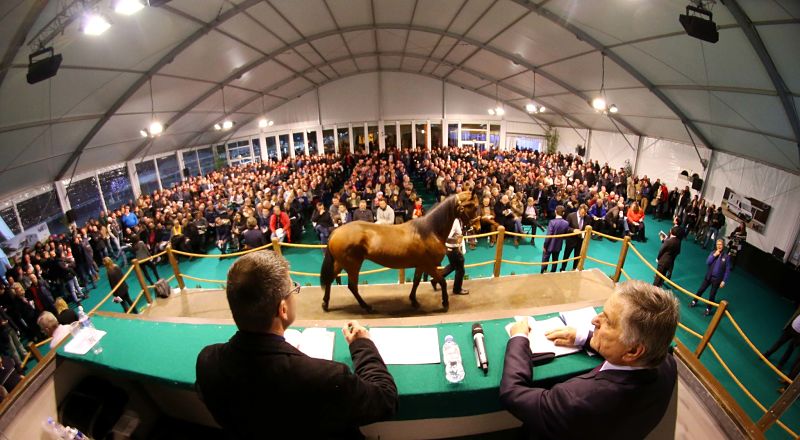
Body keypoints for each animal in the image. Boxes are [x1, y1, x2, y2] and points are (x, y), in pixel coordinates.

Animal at [320, 192, 482, 312]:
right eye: (473, 206)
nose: (478, 227)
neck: (429, 230)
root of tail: (336, 231)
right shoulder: (429, 266)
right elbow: (441, 281)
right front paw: (445, 303)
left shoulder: (421, 265)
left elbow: (416, 282)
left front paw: (414, 301)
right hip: (353, 265)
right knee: (352, 286)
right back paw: (367, 307)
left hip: (340, 263)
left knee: (329, 280)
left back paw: (325, 304)